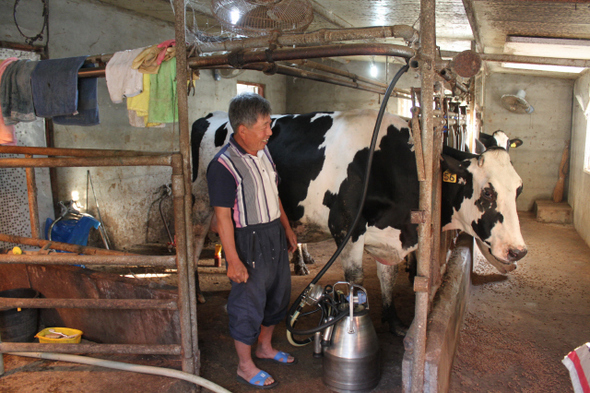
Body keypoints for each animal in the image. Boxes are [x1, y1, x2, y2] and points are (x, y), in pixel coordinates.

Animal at [192, 109, 528, 334]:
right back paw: (196, 293)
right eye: (487, 192)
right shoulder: (346, 225)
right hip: (202, 204)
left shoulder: (391, 234)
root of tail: (211, 115)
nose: (518, 251)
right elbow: (356, 279)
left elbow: (387, 277)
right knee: (193, 242)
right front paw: (357, 317)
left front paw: (394, 322)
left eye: (519, 188)